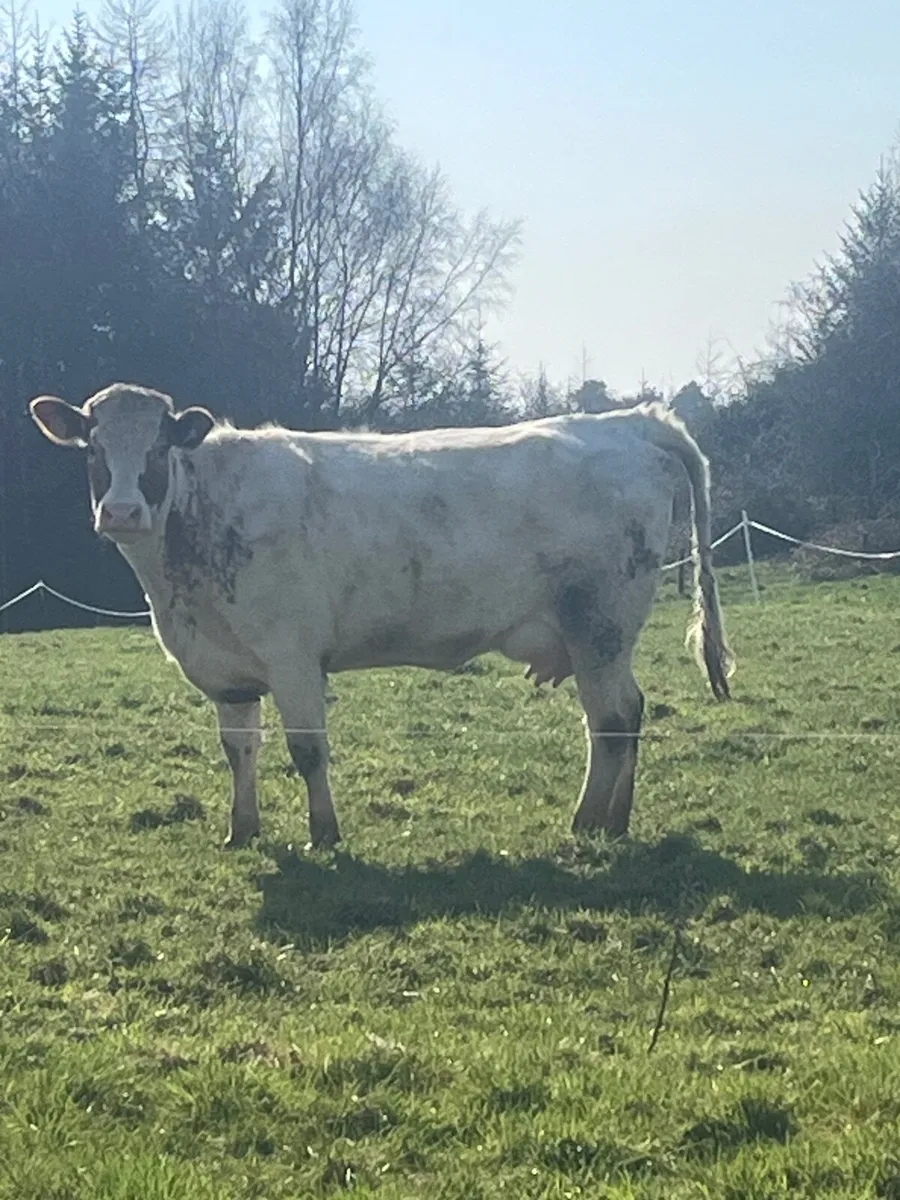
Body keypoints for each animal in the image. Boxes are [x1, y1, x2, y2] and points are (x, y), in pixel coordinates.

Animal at [30, 384, 734, 849]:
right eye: (92, 449)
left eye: (157, 448)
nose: (121, 512)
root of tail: (628, 423)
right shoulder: (228, 671)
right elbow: (240, 751)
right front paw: (242, 832)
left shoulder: (293, 657)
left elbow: (307, 751)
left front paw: (324, 835)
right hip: (604, 636)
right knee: (632, 711)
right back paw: (615, 822)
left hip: (600, 625)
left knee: (610, 721)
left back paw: (586, 823)